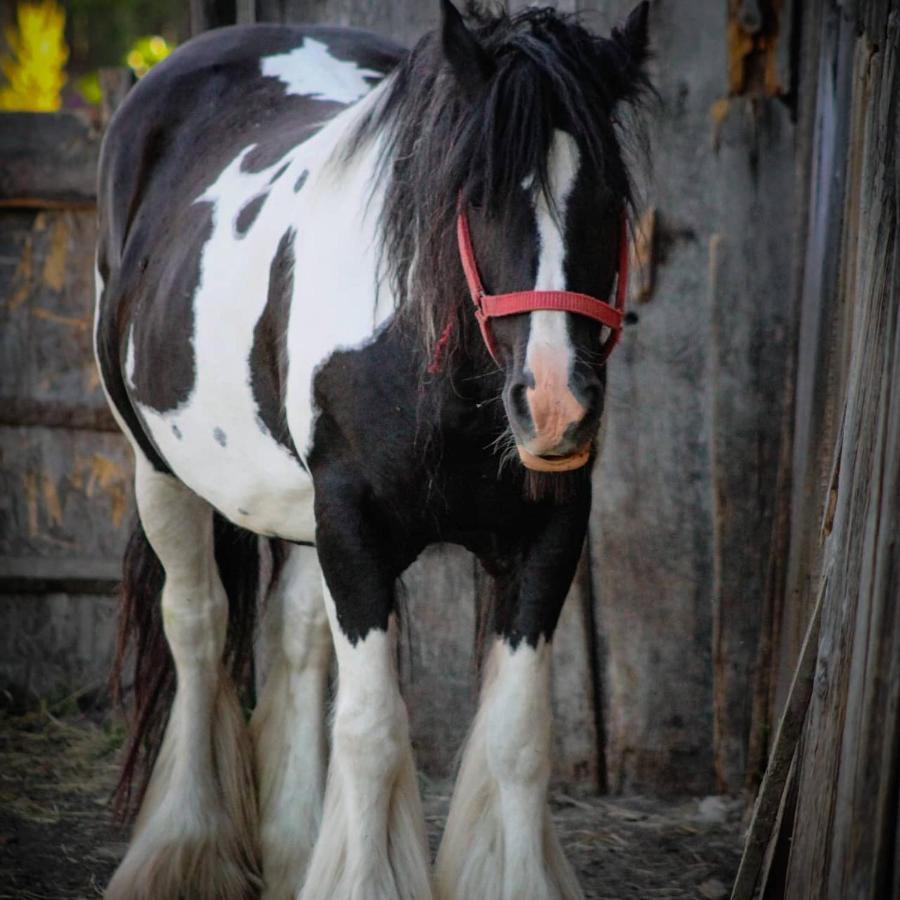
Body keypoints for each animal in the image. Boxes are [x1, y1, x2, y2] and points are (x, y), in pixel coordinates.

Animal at [93, 3, 648, 896]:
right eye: (477, 192)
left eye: (609, 194)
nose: (555, 406)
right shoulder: (355, 530)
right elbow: (373, 730)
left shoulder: (550, 532)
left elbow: (518, 739)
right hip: (160, 473)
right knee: (199, 627)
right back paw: (184, 848)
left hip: (297, 511)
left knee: (293, 638)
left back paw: (292, 850)